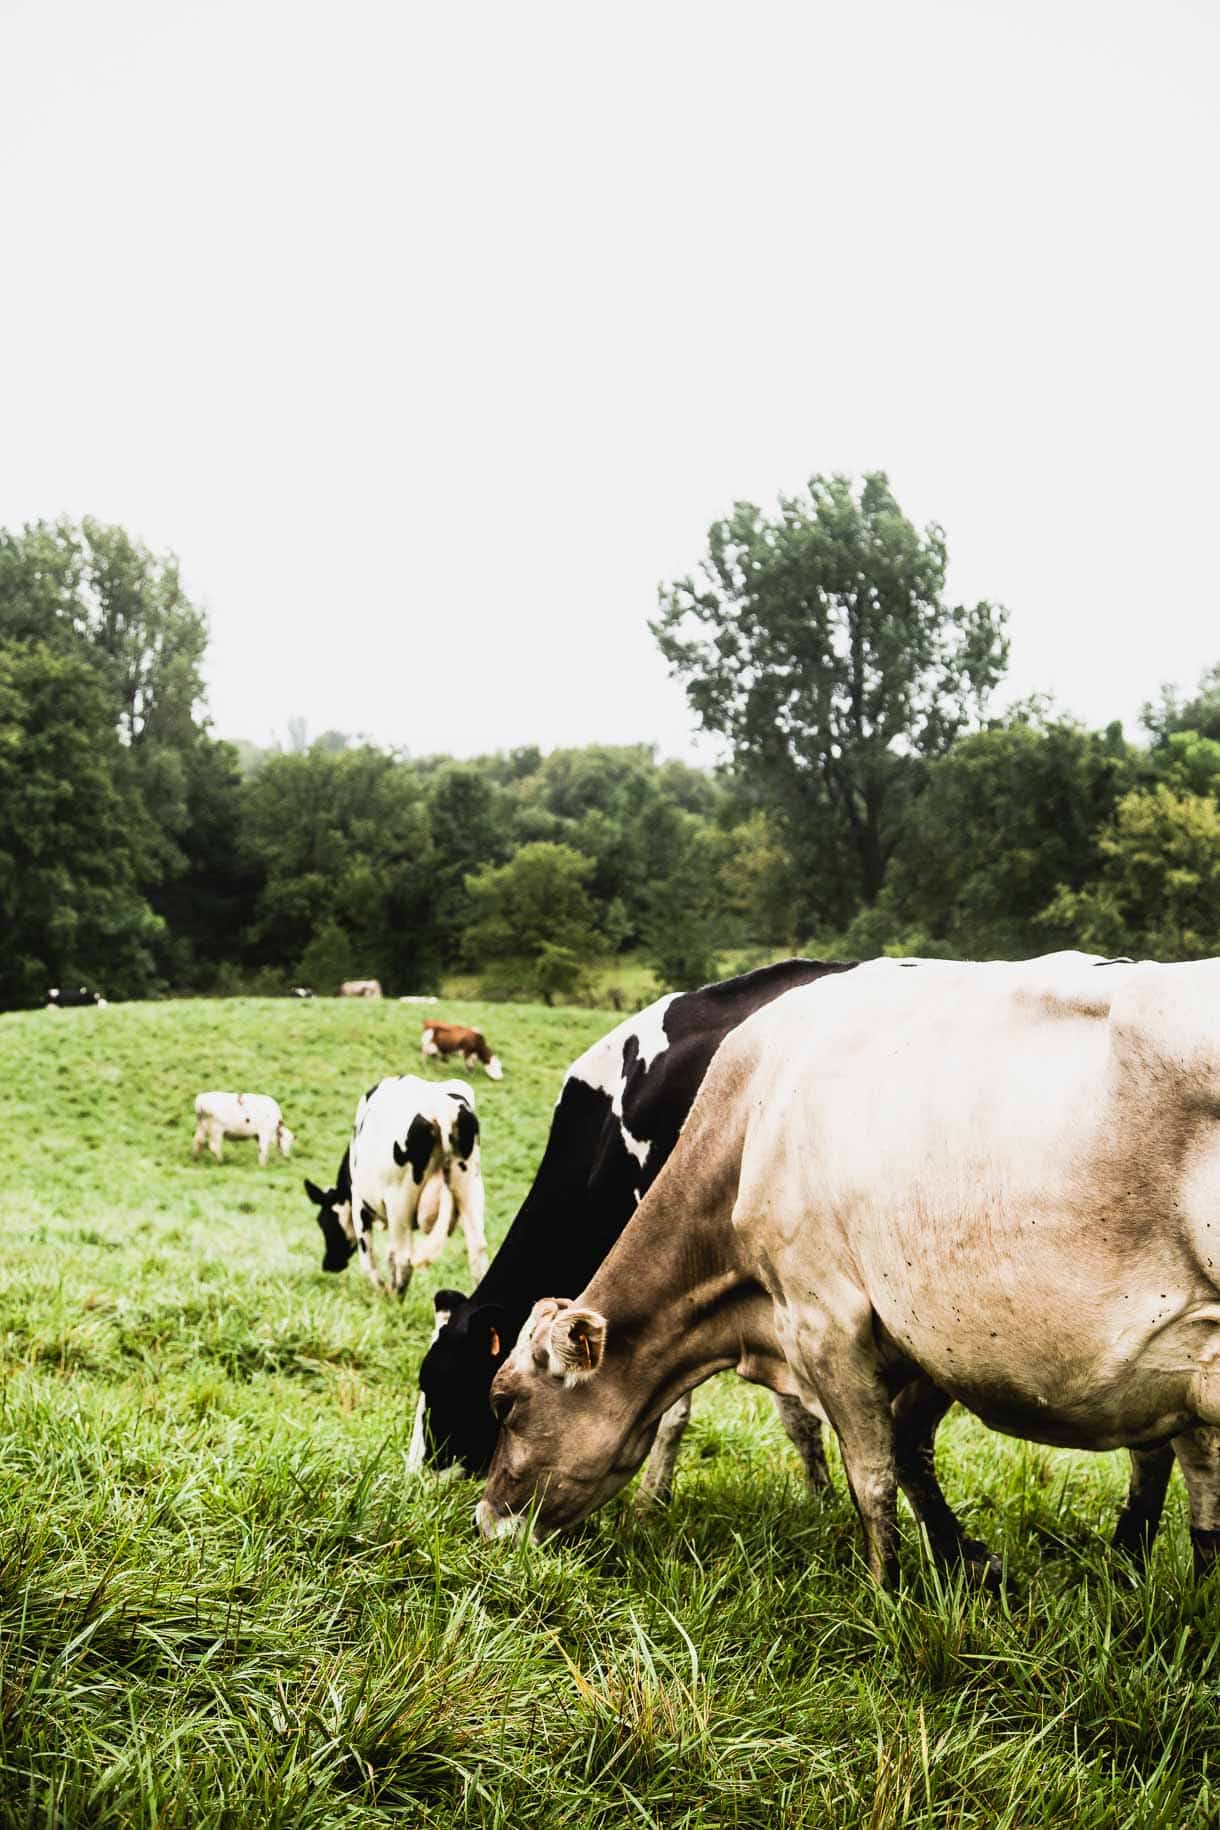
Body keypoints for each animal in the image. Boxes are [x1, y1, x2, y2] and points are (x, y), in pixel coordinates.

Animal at [303, 1076, 490, 1295]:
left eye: (322, 1221)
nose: (329, 1265)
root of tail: (440, 1106)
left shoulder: (359, 1204)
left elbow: (369, 1261)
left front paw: (382, 1291)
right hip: (470, 1188)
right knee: (477, 1252)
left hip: (399, 1202)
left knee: (404, 1259)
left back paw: (394, 1299)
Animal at [409, 958, 848, 1485]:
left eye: (441, 1380)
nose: (414, 1481)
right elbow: (794, 1411)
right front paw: (822, 1494)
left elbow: (675, 1407)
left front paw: (652, 1497)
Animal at [475, 958, 1220, 1588]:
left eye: (503, 1402)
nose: (482, 1525)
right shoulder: (923, 1339)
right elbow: (909, 1451)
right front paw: (967, 1563)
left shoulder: (825, 1319)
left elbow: (873, 1474)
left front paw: (886, 1594)